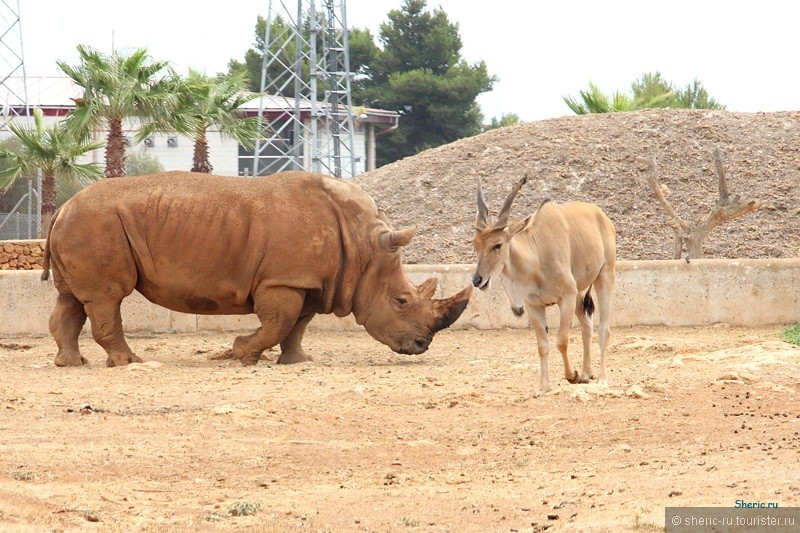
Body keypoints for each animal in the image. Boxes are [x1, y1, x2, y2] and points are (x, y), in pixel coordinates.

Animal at [472, 176, 616, 394]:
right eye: (475, 245)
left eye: (497, 245)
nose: (477, 280)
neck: (537, 256)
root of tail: (602, 217)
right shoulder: (535, 306)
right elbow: (542, 346)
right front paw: (543, 387)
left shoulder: (566, 297)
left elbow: (561, 341)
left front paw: (571, 375)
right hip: (579, 293)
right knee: (587, 325)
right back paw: (586, 373)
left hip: (604, 277)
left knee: (603, 330)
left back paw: (601, 378)